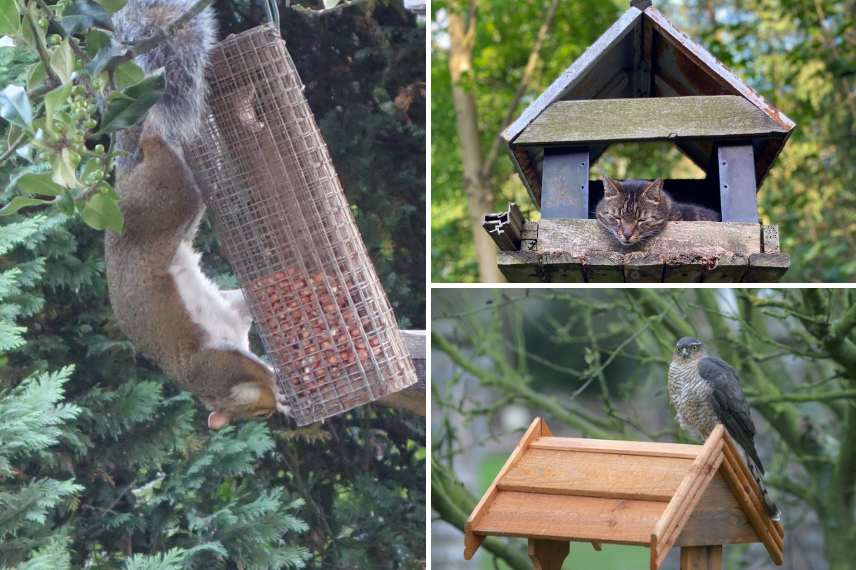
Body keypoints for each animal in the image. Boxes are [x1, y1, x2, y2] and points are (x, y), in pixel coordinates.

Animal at [103, 0, 278, 426]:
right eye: (258, 414)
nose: (277, 409)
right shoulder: (214, 360)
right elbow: (247, 357)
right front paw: (279, 379)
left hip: (167, 199)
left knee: (157, 133)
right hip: (171, 197)